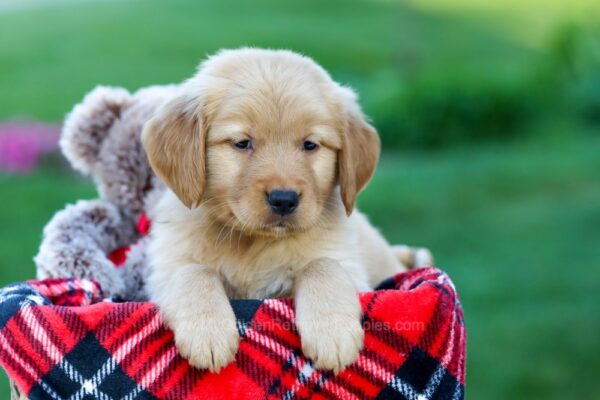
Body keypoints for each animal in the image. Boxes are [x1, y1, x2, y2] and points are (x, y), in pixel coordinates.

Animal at [143, 48, 428, 374]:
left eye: (310, 145)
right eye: (242, 143)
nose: (284, 199)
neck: (251, 243)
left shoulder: (347, 264)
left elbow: (322, 266)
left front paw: (332, 333)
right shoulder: (164, 268)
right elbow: (193, 270)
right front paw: (207, 332)